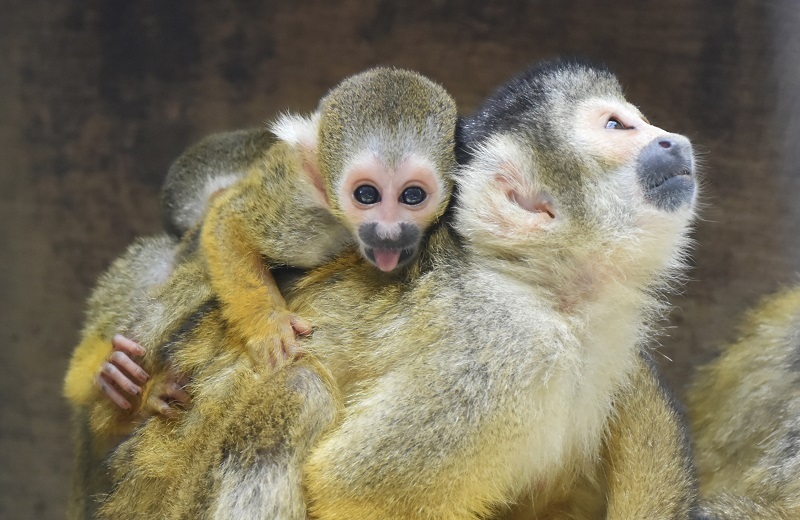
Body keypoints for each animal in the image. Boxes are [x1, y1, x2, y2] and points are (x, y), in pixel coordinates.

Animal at [98, 60, 700, 520]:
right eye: (618, 126)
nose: (673, 140)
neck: (542, 288)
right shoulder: (501, 355)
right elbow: (355, 489)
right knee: (296, 390)